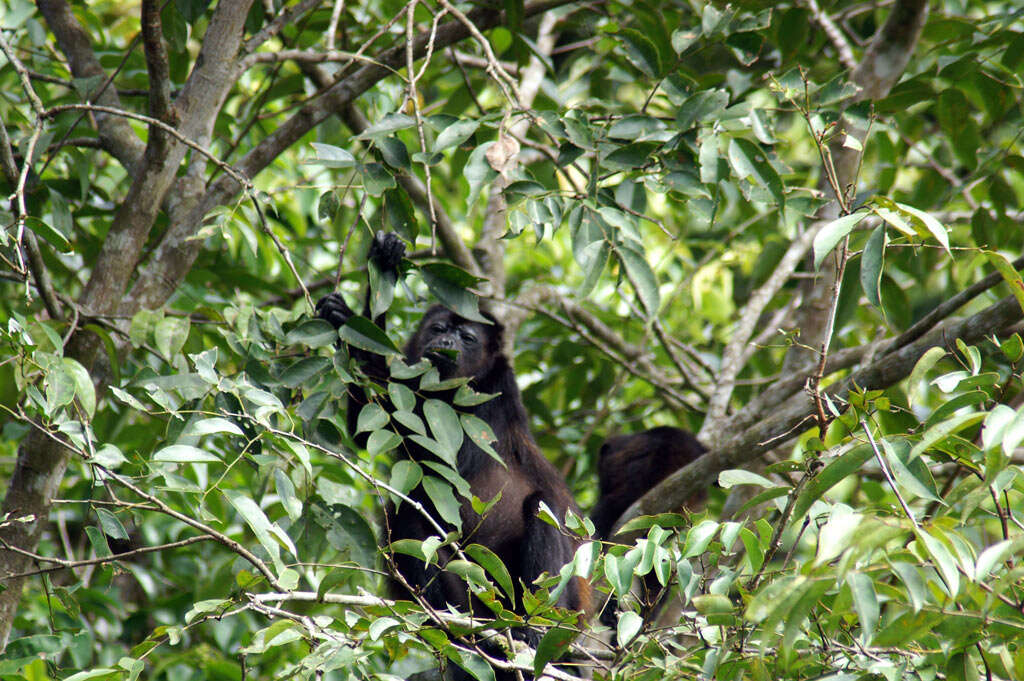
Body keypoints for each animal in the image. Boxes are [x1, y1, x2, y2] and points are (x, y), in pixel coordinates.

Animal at [313, 231, 593, 639]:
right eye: (440, 329)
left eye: (467, 337)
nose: (446, 344)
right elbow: (372, 430)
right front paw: (378, 267)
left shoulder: (494, 393)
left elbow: (449, 454)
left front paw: (352, 320)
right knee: (406, 515)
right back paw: (447, 620)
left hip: (565, 606)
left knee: (542, 506)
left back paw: (533, 626)